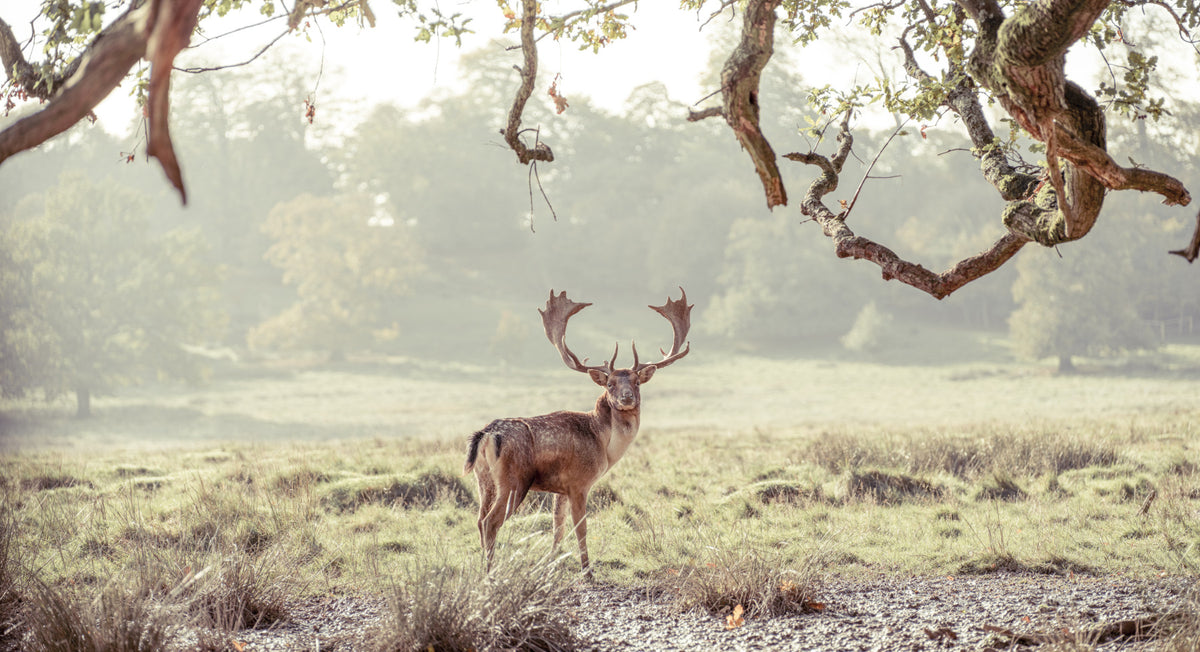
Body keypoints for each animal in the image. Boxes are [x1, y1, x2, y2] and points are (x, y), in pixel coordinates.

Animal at [464, 288, 692, 576]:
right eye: (610, 383)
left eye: (637, 382)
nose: (627, 397)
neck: (604, 445)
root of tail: (486, 435)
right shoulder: (579, 482)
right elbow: (580, 527)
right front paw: (587, 570)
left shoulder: (560, 488)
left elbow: (557, 527)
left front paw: (550, 563)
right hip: (514, 480)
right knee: (490, 522)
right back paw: (490, 572)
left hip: (483, 478)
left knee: (479, 519)